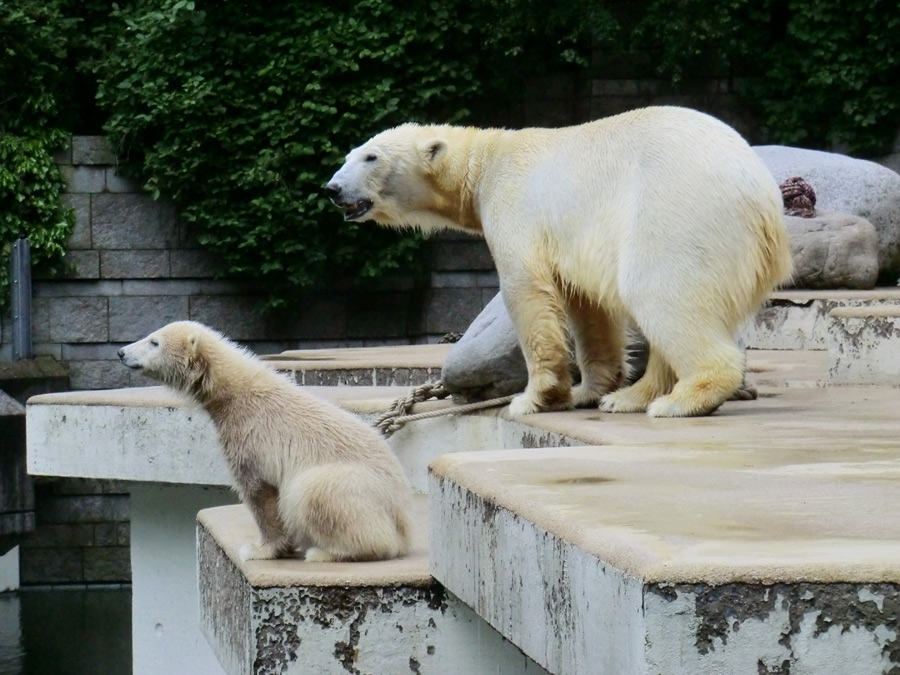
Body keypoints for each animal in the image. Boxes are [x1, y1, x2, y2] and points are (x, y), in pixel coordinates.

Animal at [326, 107, 792, 414]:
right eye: (350, 155)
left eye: (370, 157)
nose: (332, 188)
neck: (485, 162)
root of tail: (764, 196)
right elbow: (585, 304)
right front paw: (590, 389)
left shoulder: (514, 203)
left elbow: (526, 288)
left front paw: (534, 397)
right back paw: (628, 397)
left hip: (678, 212)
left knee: (658, 291)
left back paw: (680, 400)